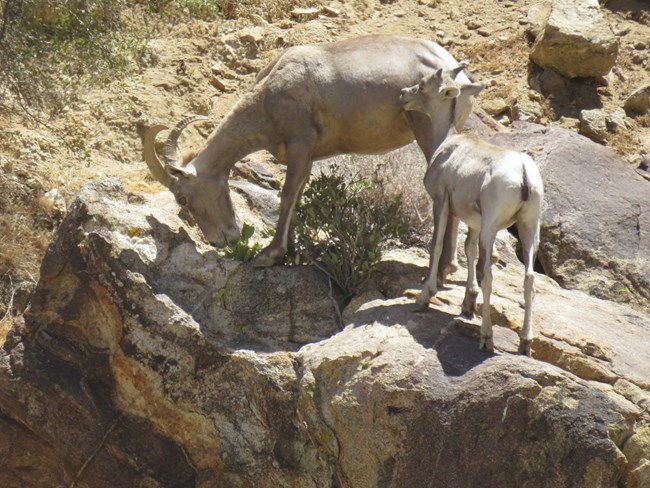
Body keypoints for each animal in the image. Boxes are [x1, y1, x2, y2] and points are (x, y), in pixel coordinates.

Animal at [143, 36, 476, 268]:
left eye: (182, 198)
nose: (221, 241)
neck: (271, 91)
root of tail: (458, 76)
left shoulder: (299, 143)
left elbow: (287, 194)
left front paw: (270, 255)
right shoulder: (306, 156)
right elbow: (299, 195)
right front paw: (291, 251)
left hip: (428, 135)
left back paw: (445, 266)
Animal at [400, 67, 540, 354]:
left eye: (423, 85)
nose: (403, 95)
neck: (447, 141)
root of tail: (523, 173)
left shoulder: (441, 201)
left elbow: (437, 245)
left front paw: (423, 298)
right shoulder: (473, 221)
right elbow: (468, 249)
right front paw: (467, 305)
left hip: (492, 229)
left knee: (488, 274)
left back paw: (486, 338)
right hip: (530, 228)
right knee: (530, 279)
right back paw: (525, 344)